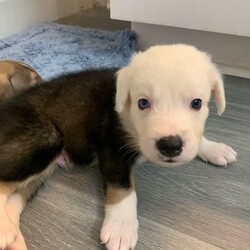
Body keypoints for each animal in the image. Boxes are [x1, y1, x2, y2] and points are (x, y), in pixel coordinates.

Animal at [0, 45, 236, 250]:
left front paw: (214, 148)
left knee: (12, 197)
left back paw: (12, 236)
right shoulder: (112, 147)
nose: (170, 145)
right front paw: (121, 229)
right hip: (43, 140)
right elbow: (124, 188)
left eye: (197, 103)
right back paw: (5, 231)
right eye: (143, 103)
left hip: (42, 169)